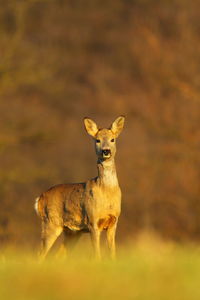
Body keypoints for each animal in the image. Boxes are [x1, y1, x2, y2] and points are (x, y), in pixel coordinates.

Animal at [34, 116, 125, 258]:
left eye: (112, 139)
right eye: (97, 140)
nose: (106, 151)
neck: (107, 191)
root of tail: (40, 199)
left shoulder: (113, 222)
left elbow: (113, 253)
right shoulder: (93, 222)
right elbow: (97, 254)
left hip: (72, 231)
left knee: (58, 256)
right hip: (50, 222)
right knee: (39, 255)